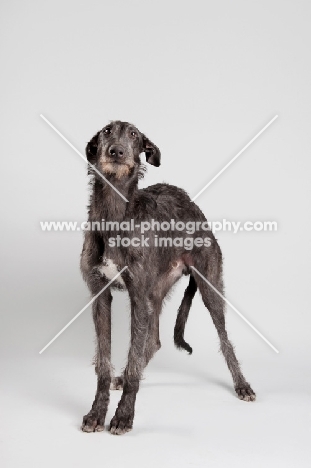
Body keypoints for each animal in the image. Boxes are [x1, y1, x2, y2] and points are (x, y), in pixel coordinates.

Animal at [80, 120, 256, 436]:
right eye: (106, 131)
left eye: (134, 135)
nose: (117, 152)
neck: (116, 215)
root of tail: (193, 206)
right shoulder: (100, 295)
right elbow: (103, 363)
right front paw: (97, 413)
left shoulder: (137, 298)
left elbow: (133, 361)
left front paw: (123, 416)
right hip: (155, 294)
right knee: (153, 342)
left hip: (209, 286)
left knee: (225, 341)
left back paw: (242, 385)